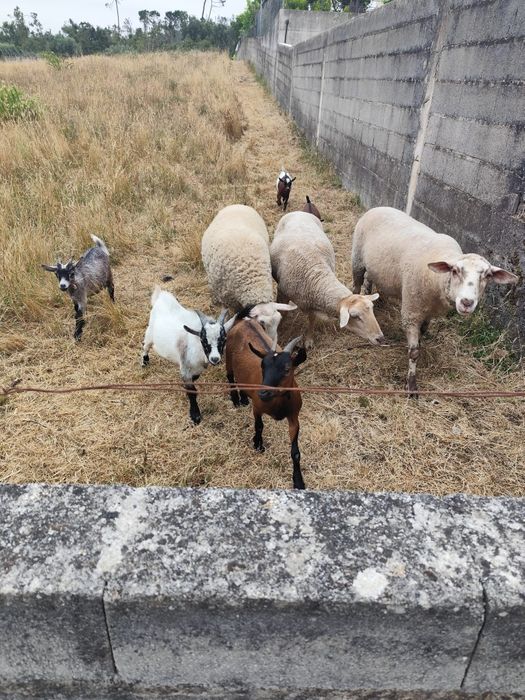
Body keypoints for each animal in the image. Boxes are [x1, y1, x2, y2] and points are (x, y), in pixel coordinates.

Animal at [141, 287, 236, 425]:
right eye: (203, 340)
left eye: (223, 339)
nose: (215, 358)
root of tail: (162, 295)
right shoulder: (185, 366)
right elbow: (192, 391)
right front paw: (195, 415)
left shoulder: (196, 369)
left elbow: (194, 378)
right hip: (150, 333)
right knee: (145, 346)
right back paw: (144, 362)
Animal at [226, 317, 307, 489]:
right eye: (262, 366)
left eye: (287, 369)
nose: (262, 393)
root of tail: (244, 321)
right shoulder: (257, 407)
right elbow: (259, 426)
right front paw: (257, 444)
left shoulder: (294, 417)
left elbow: (296, 452)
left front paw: (298, 481)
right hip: (228, 355)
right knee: (230, 376)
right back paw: (236, 400)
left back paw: (243, 399)